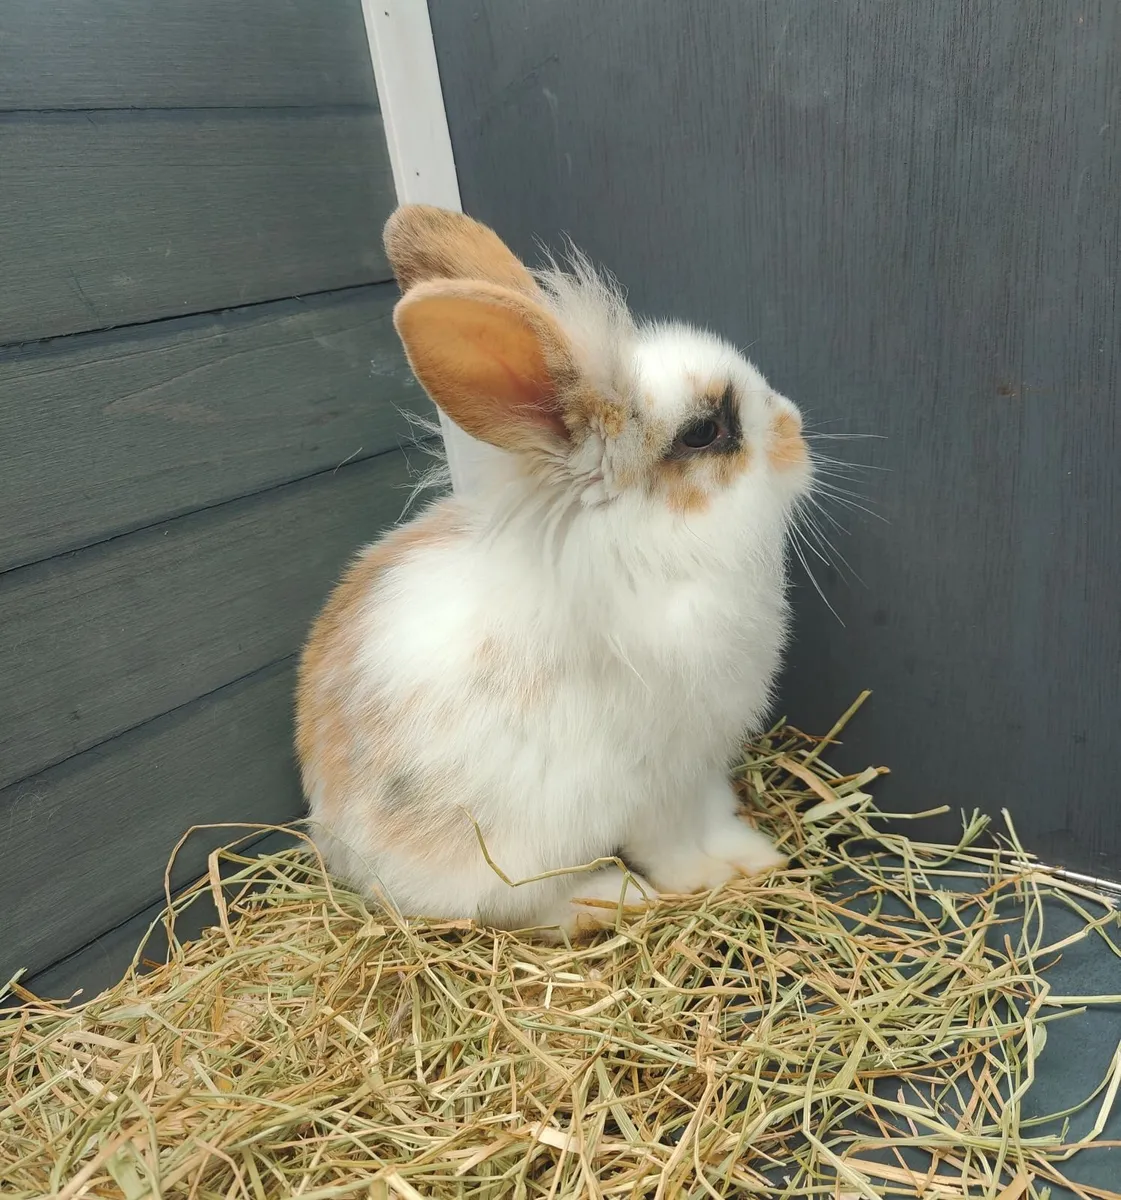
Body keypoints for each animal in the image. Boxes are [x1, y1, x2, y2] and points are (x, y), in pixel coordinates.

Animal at [295, 204, 814, 937]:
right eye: (703, 433)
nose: (797, 428)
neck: (655, 550)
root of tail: (337, 845)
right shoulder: (656, 778)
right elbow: (672, 843)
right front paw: (708, 878)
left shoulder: (704, 765)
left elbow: (713, 816)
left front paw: (752, 855)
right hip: (512, 852)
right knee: (518, 909)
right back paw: (613, 897)